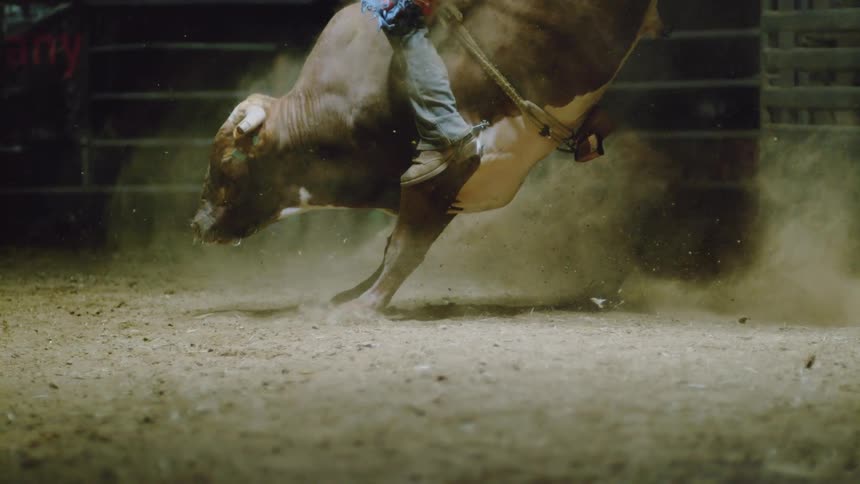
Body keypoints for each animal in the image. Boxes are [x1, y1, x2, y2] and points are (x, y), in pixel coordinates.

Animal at [191, 0, 665, 311]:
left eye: (227, 164)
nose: (196, 225)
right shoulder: (450, 188)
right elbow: (397, 246)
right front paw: (352, 294)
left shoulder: (446, 170)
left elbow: (404, 247)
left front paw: (364, 306)